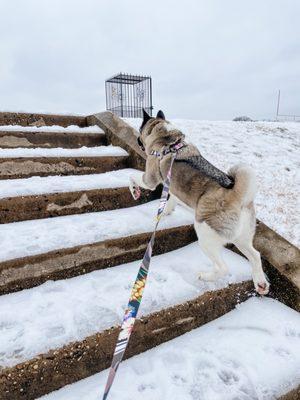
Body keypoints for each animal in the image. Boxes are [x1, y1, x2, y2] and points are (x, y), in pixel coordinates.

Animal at [129, 108, 270, 296]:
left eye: (140, 129)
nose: (138, 141)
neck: (167, 140)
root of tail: (238, 196)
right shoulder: (173, 188)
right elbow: (171, 201)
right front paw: (165, 212)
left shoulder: (149, 179)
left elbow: (132, 177)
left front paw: (134, 191)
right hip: (241, 237)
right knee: (255, 255)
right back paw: (261, 283)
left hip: (205, 234)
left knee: (223, 267)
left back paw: (206, 277)